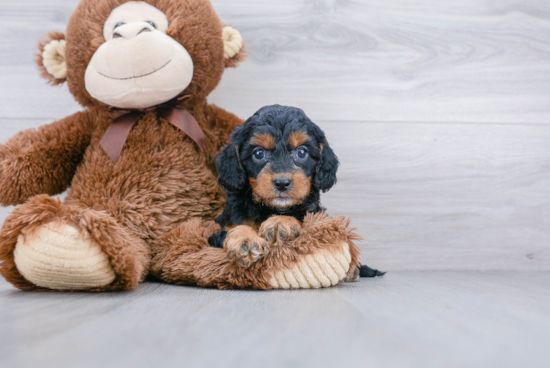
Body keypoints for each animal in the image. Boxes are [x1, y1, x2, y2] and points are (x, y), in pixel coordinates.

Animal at [209, 105, 386, 278]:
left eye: (301, 152)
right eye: (258, 153)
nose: (282, 183)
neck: (272, 208)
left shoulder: (316, 217)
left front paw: (281, 222)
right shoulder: (217, 231)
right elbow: (233, 229)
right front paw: (245, 239)